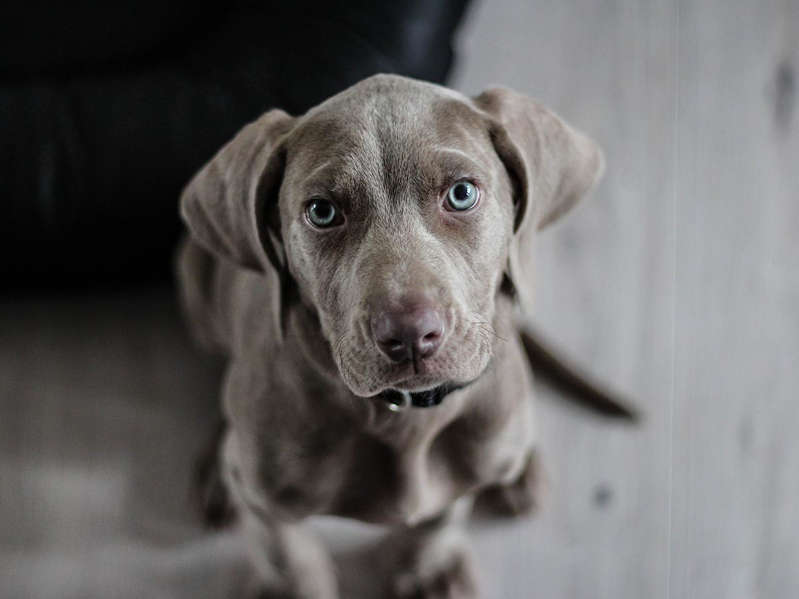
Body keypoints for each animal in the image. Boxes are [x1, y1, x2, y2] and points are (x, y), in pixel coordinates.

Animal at [180, 72, 620, 596]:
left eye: (461, 194)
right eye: (322, 211)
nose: (410, 335)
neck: (403, 417)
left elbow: (442, 515)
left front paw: (430, 568)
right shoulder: (266, 502)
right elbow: (286, 555)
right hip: (194, 279)